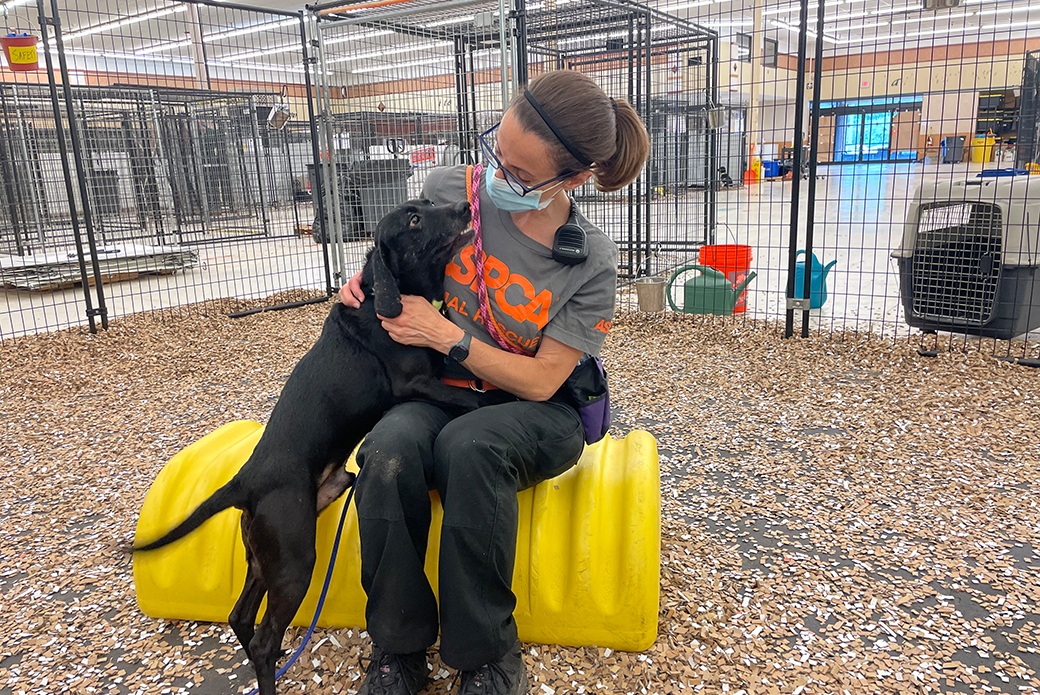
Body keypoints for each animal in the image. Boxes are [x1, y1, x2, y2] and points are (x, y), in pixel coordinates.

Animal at [128, 197, 476, 695]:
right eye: (413, 219)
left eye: (428, 204)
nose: (465, 205)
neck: (385, 298)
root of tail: (246, 479)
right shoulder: (417, 382)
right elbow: (474, 396)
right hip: (294, 561)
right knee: (264, 640)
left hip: (267, 556)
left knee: (240, 616)